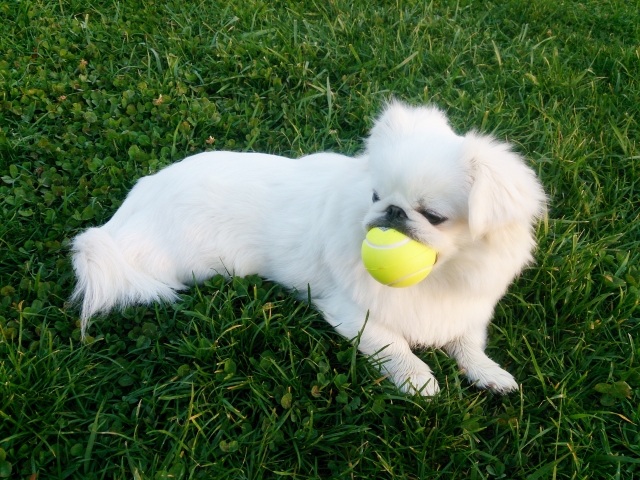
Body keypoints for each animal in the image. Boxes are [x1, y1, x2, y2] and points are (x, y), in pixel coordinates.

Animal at [72, 101, 548, 394]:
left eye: (433, 217)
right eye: (376, 196)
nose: (392, 212)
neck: (438, 277)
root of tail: (128, 211)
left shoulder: (466, 310)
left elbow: (469, 344)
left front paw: (488, 373)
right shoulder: (352, 313)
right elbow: (395, 345)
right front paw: (418, 380)